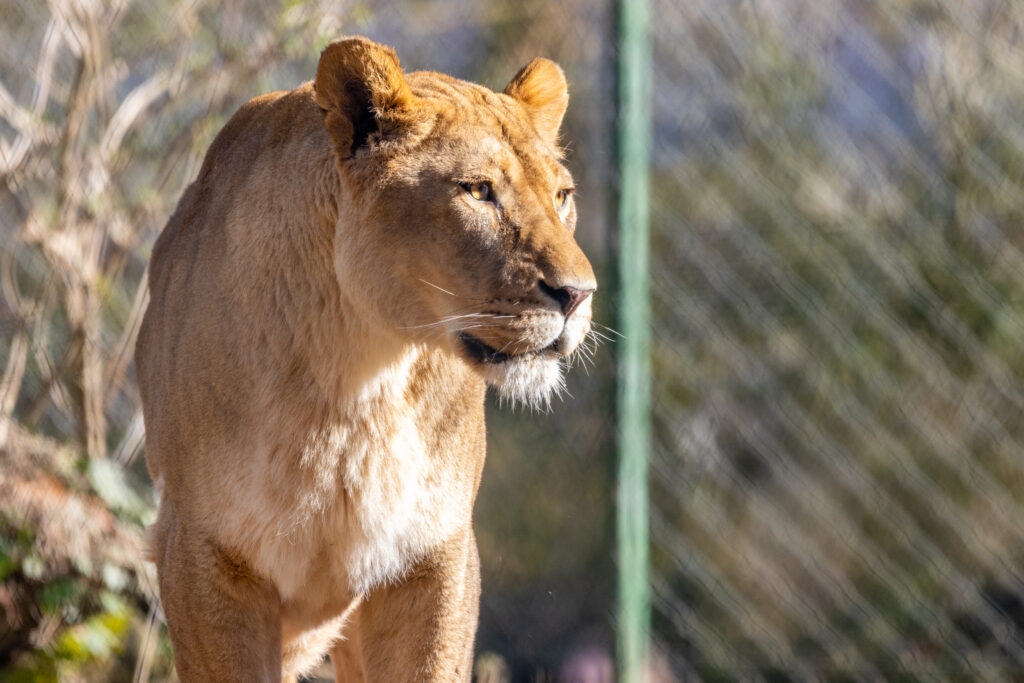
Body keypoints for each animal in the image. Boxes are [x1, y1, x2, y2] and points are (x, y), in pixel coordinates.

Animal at [134, 36, 596, 682]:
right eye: (478, 191)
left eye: (562, 196)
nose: (579, 294)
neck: (360, 373)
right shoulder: (202, 555)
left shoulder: (435, 556)